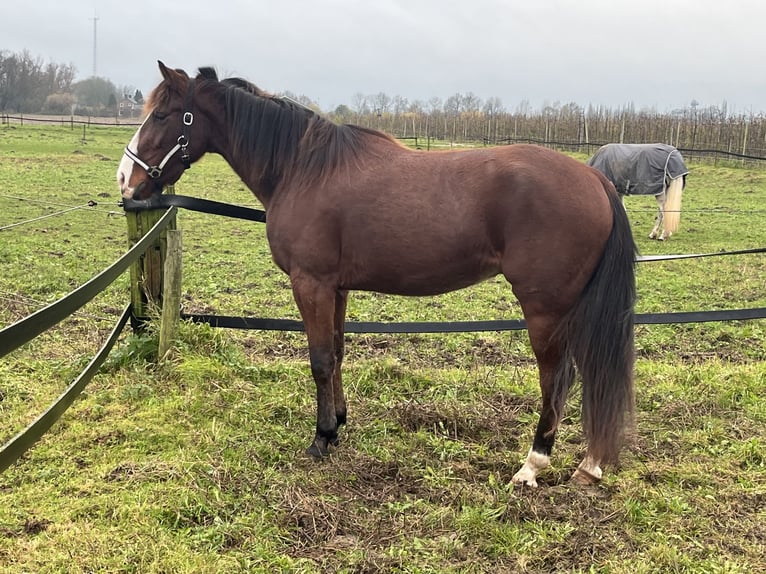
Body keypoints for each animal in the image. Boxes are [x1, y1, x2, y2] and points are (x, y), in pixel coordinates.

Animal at [117, 63, 640, 488]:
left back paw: (533, 465)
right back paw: (589, 464)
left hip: (544, 308)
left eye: (162, 116)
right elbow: (338, 352)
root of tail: (594, 179)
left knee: (558, 378)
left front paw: (321, 438)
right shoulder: (337, 287)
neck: (303, 168)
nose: (126, 180)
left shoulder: (311, 283)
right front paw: (339, 423)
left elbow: (319, 359)